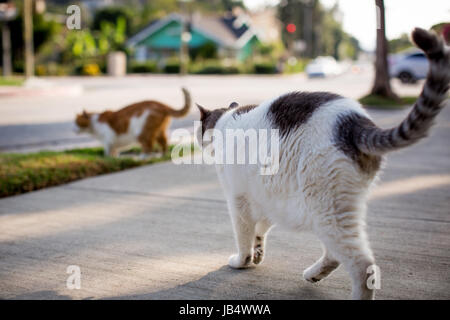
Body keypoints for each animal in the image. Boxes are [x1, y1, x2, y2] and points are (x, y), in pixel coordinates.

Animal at [197, 28, 450, 300]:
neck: (225, 123)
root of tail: (355, 123)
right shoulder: (267, 197)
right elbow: (261, 229)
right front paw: (258, 253)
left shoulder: (239, 200)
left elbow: (244, 234)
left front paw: (242, 260)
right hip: (331, 208)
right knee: (335, 255)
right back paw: (313, 274)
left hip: (326, 208)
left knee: (362, 265)